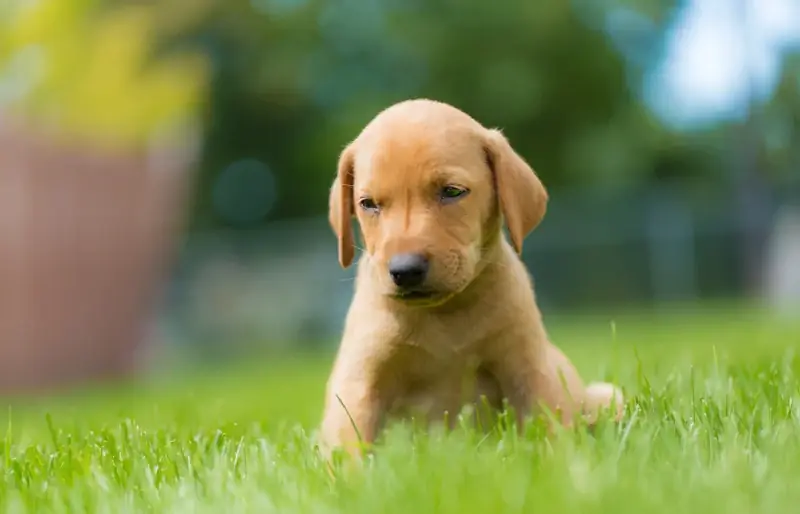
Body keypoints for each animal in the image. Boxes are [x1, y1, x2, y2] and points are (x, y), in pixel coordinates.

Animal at [318, 98, 624, 458]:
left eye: (451, 192)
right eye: (368, 204)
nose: (405, 270)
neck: (444, 315)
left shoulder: (528, 366)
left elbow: (549, 424)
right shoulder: (359, 381)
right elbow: (349, 447)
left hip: (605, 393)